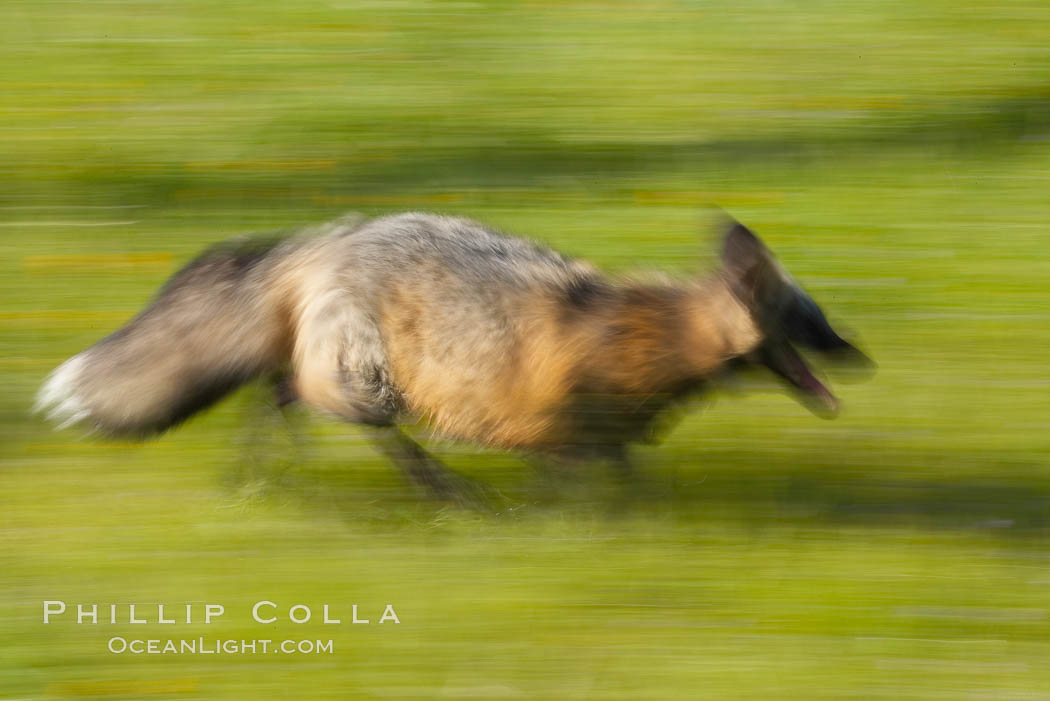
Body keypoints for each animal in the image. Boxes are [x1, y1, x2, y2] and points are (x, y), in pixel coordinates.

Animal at [34, 209, 869, 497]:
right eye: (814, 323)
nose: (864, 357)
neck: (642, 335)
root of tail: (319, 242)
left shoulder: (599, 438)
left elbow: (624, 481)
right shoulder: (566, 434)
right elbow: (595, 493)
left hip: (340, 369)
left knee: (276, 390)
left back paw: (258, 472)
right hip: (369, 381)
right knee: (336, 412)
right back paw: (444, 489)